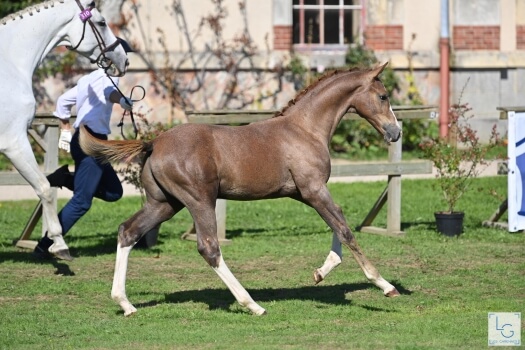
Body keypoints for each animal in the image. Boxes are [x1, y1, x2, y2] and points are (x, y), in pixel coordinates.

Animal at [81, 61, 402, 316]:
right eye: (383, 96)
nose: (396, 132)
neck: (304, 129)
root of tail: (154, 142)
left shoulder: (306, 193)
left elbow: (337, 224)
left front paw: (320, 272)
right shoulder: (313, 189)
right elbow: (345, 230)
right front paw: (384, 285)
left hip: (164, 203)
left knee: (128, 231)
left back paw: (125, 303)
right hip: (199, 200)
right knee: (209, 247)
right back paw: (253, 304)